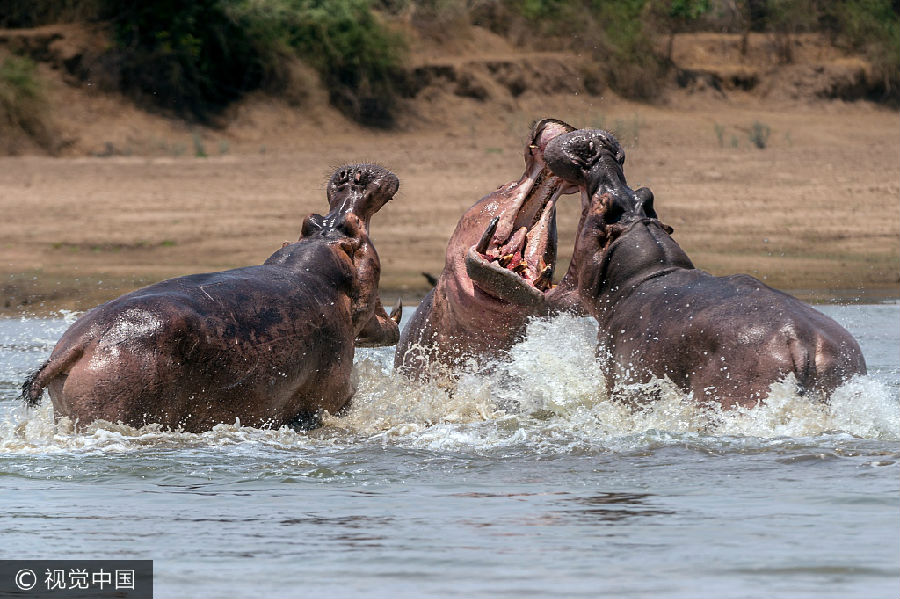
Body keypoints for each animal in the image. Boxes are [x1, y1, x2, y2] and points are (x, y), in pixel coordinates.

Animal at [20, 163, 400, 432]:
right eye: (354, 231)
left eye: (311, 219)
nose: (351, 178)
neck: (319, 266)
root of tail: (82, 342)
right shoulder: (334, 396)